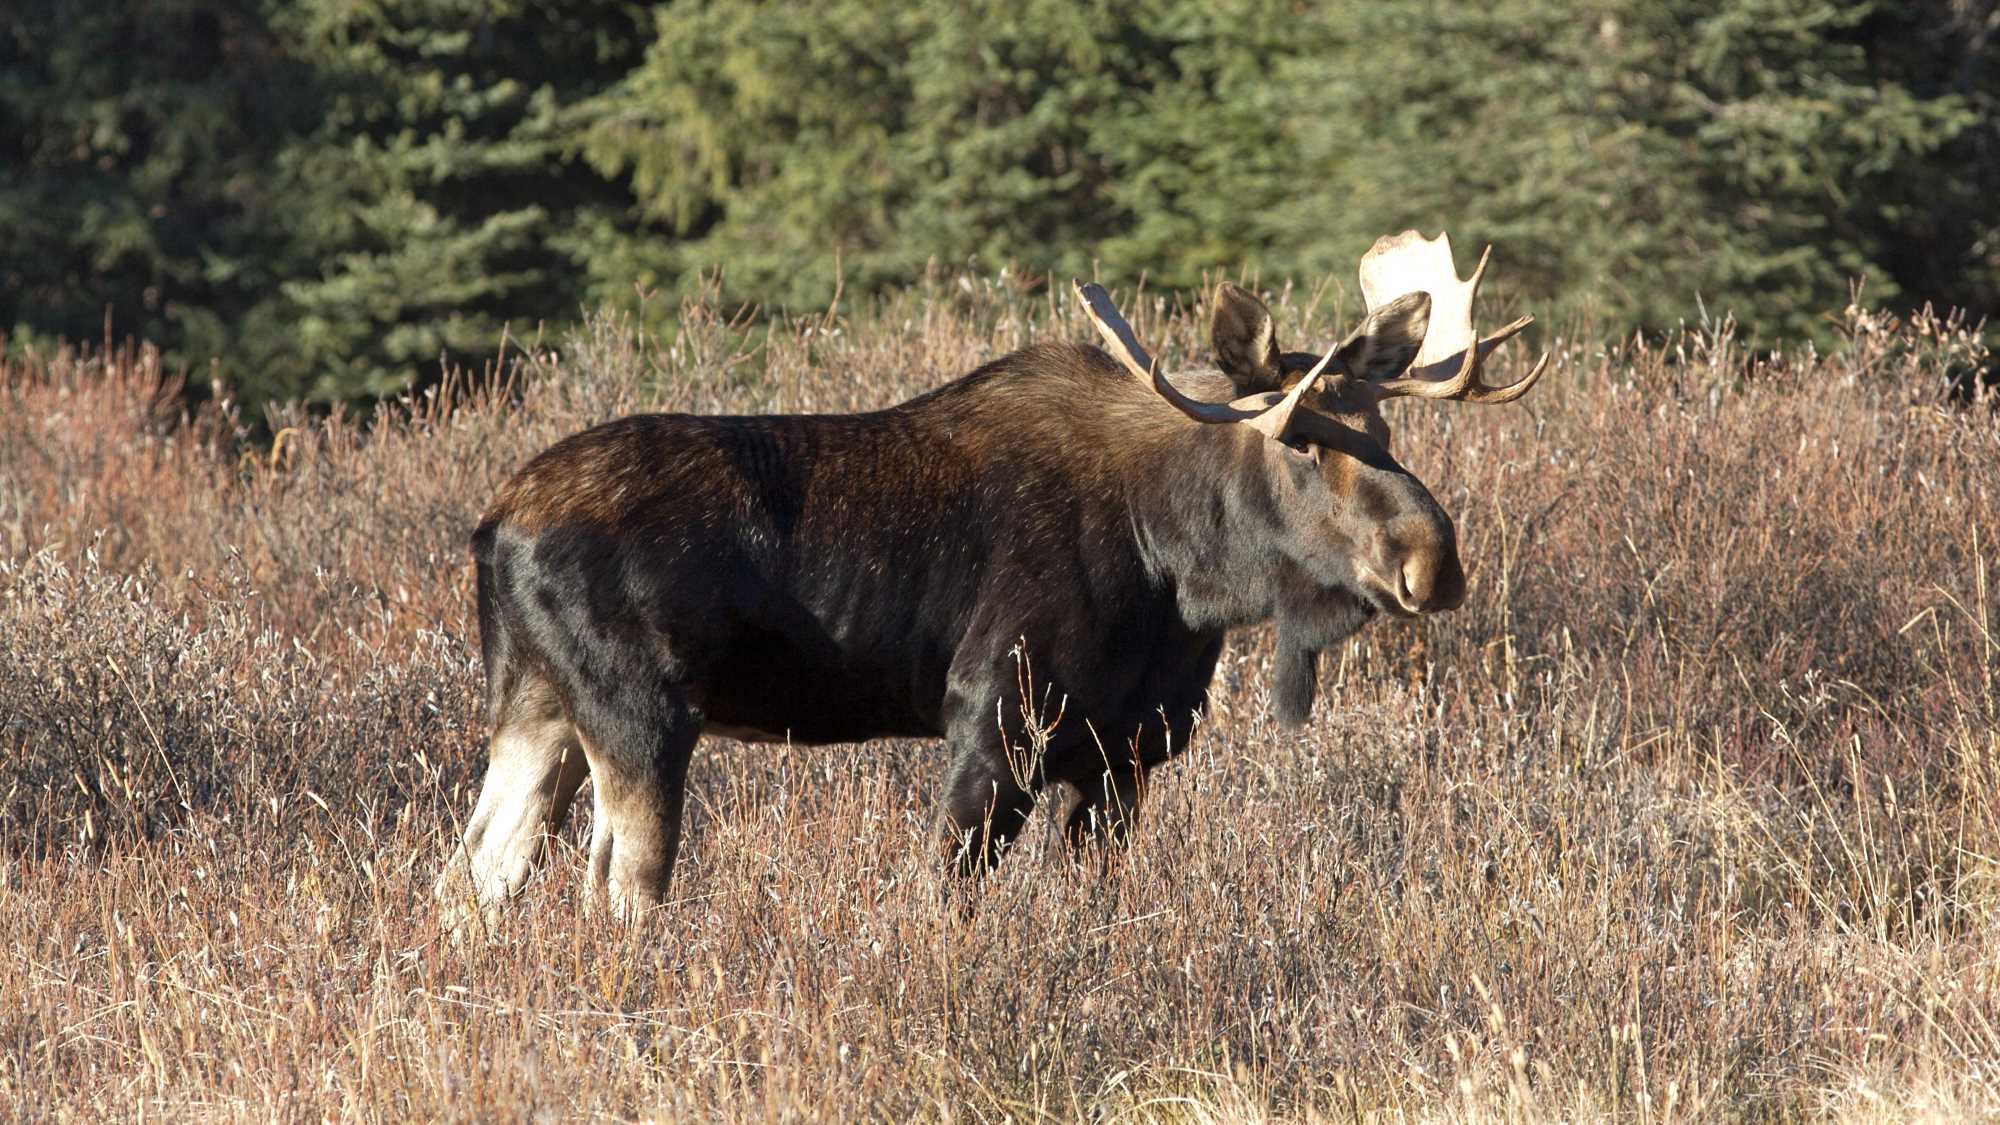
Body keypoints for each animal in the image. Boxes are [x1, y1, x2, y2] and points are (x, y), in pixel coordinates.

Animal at [446, 232, 1552, 916]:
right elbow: (948, 896)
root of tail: (491, 525)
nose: (1434, 561)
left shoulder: (1122, 753)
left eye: (1386, 431)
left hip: (535, 706)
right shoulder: (995, 719)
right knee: (617, 892)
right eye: (1301, 442)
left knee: (472, 880)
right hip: (639, 713)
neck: (1182, 572)